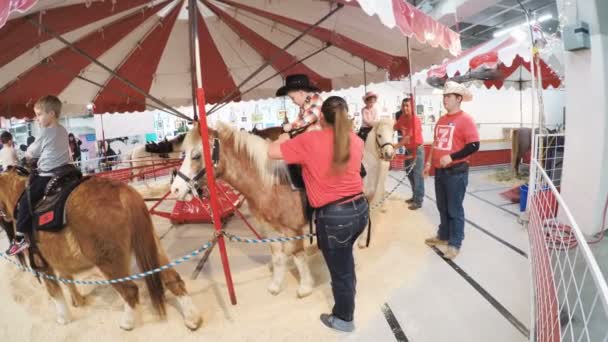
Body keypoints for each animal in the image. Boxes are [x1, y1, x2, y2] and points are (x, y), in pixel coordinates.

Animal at [0, 171, 204, 332]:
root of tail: (121, 191)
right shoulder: (60, 261)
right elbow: (67, 280)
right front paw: (78, 301)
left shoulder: (44, 266)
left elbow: (55, 292)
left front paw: (63, 318)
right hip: (153, 247)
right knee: (172, 279)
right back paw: (193, 318)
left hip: (109, 263)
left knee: (130, 290)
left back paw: (127, 323)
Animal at [170, 120, 394, 296]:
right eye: (184, 154)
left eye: (196, 155)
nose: (175, 189)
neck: (271, 182)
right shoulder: (270, 229)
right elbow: (277, 256)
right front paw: (276, 285)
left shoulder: (293, 228)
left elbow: (297, 255)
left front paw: (305, 286)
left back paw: (360, 243)